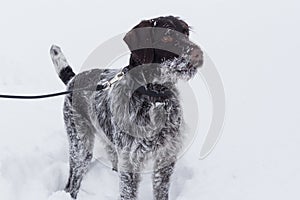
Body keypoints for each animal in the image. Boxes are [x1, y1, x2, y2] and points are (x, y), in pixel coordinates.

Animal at [50, 16, 203, 200]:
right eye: (166, 37)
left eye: (186, 33)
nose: (198, 53)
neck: (154, 98)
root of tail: (73, 80)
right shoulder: (130, 163)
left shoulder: (165, 157)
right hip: (80, 146)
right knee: (72, 183)